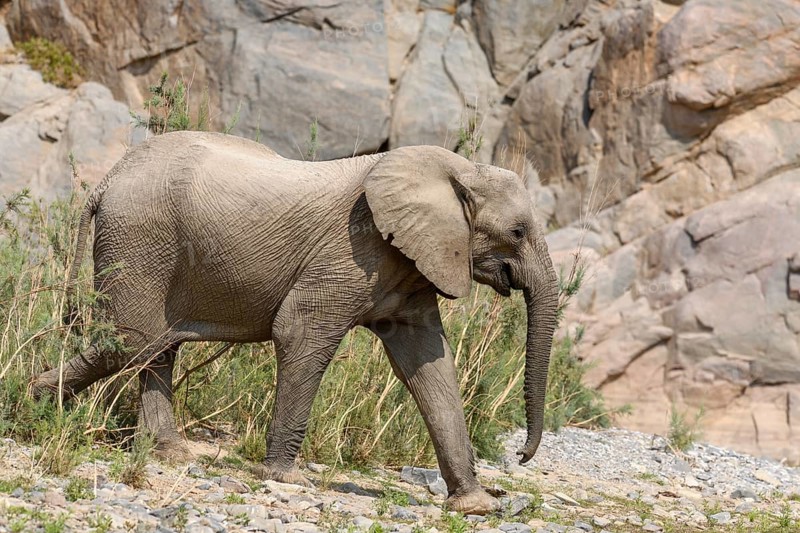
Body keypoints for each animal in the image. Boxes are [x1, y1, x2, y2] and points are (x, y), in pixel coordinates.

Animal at [32, 131, 558, 515]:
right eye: (517, 232)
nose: (521, 456)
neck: (457, 169)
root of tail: (106, 180)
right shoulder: (354, 247)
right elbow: (301, 331)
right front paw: (285, 478)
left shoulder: (410, 262)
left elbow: (429, 364)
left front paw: (476, 506)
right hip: (141, 239)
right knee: (131, 342)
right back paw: (32, 399)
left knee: (155, 347)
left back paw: (168, 452)